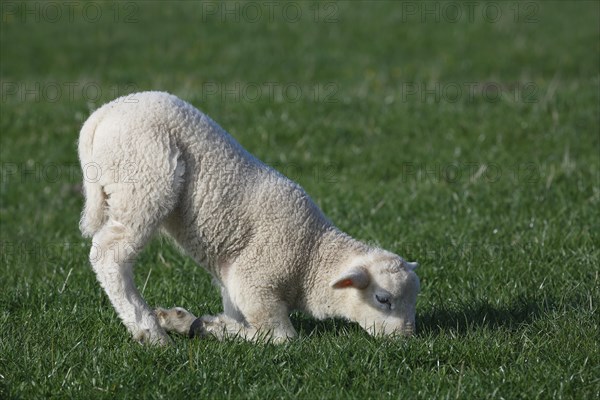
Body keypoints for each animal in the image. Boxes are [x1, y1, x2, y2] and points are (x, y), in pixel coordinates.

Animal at [77, 90, 420, 344]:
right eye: (383, 299)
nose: (405, 340)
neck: (311, 257)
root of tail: (100, 116)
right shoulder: (255, 284)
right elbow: (280, 338)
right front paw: (212, 328)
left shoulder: (234, 282)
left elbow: (233, 314)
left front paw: (184, 320)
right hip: (143, 183)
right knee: (109, 254)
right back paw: (149, 332)